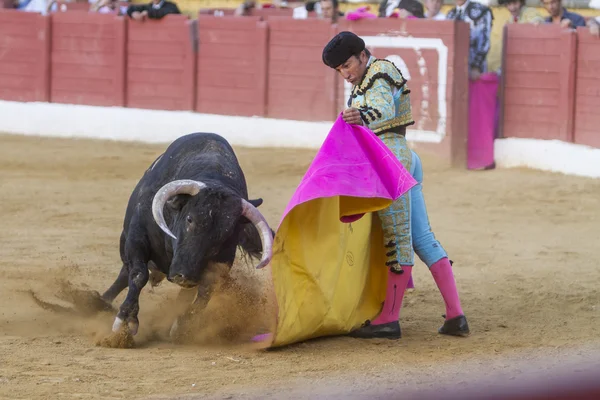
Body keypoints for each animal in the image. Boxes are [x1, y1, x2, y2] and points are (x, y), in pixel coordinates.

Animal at [101, 133, 274, 336]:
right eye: (189, 219)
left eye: (226, 234)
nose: (184, 276)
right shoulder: (137, 237)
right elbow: (138, 274)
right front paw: (126, 321)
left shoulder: (222, 262)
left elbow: (205, 291)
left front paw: (182, 325)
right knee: (126, 273)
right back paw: (98, 302)